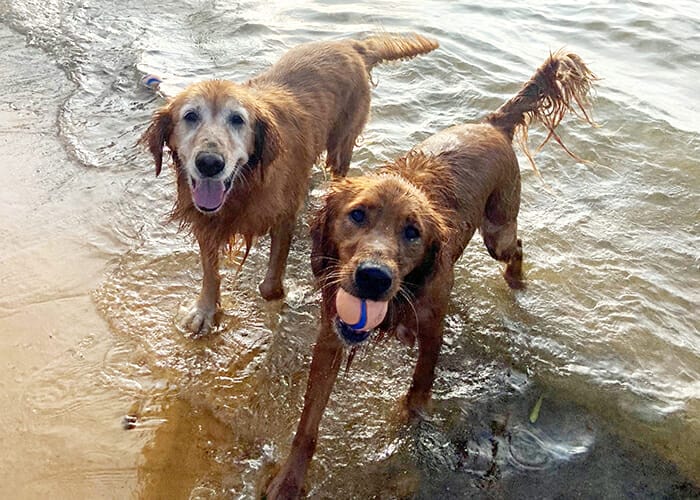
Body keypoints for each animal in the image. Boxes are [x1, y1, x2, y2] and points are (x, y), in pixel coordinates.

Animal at [140, 34, 438, 332]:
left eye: (237, 119)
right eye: (190, 116)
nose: (210, 163)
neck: (246, 184)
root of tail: (349, 44)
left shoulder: (283, 219)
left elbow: (270, 284)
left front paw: (278, 305)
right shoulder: (206, 222)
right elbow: (210, 271)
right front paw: (205, 310)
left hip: (341, 144)